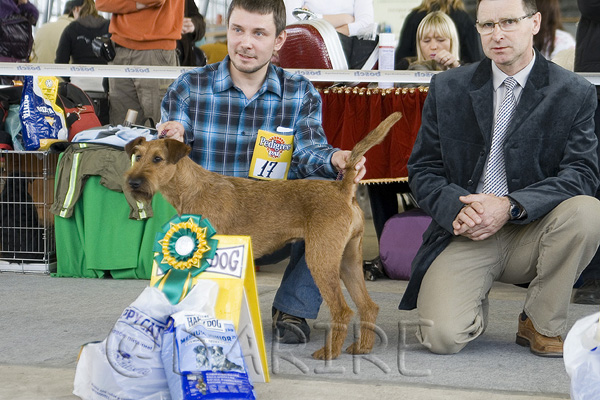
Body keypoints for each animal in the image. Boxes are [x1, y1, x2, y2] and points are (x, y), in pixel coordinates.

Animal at [123, 111, 400, 360]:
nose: (133, 182)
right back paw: (362, 347)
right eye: (138, 157)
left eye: (158, 159)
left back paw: (329, 352)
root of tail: (343, 188)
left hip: (321, 258)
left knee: (343, 310)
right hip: (348, 260)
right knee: (368, 305)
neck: (192, 189)